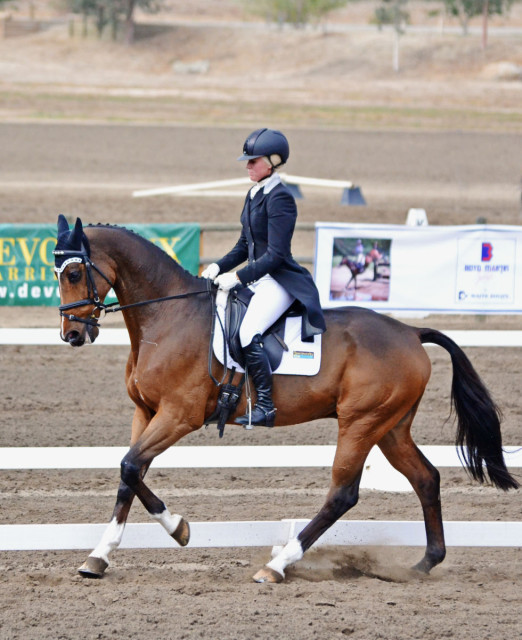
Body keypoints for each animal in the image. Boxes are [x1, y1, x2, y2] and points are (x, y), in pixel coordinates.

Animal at [53, 216, 516, 584]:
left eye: (74, 273)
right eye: (56, 272)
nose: (72, 334)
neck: (167, 317)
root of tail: (410, 332)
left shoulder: (179, 415)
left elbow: (130, 466)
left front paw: (178, 529)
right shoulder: (146, 412)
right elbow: (129, 474)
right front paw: (100, 557)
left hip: (361, 423)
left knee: (343, 494)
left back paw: (276, 566)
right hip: (391, 427)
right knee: (425, 478)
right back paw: (423, 564)